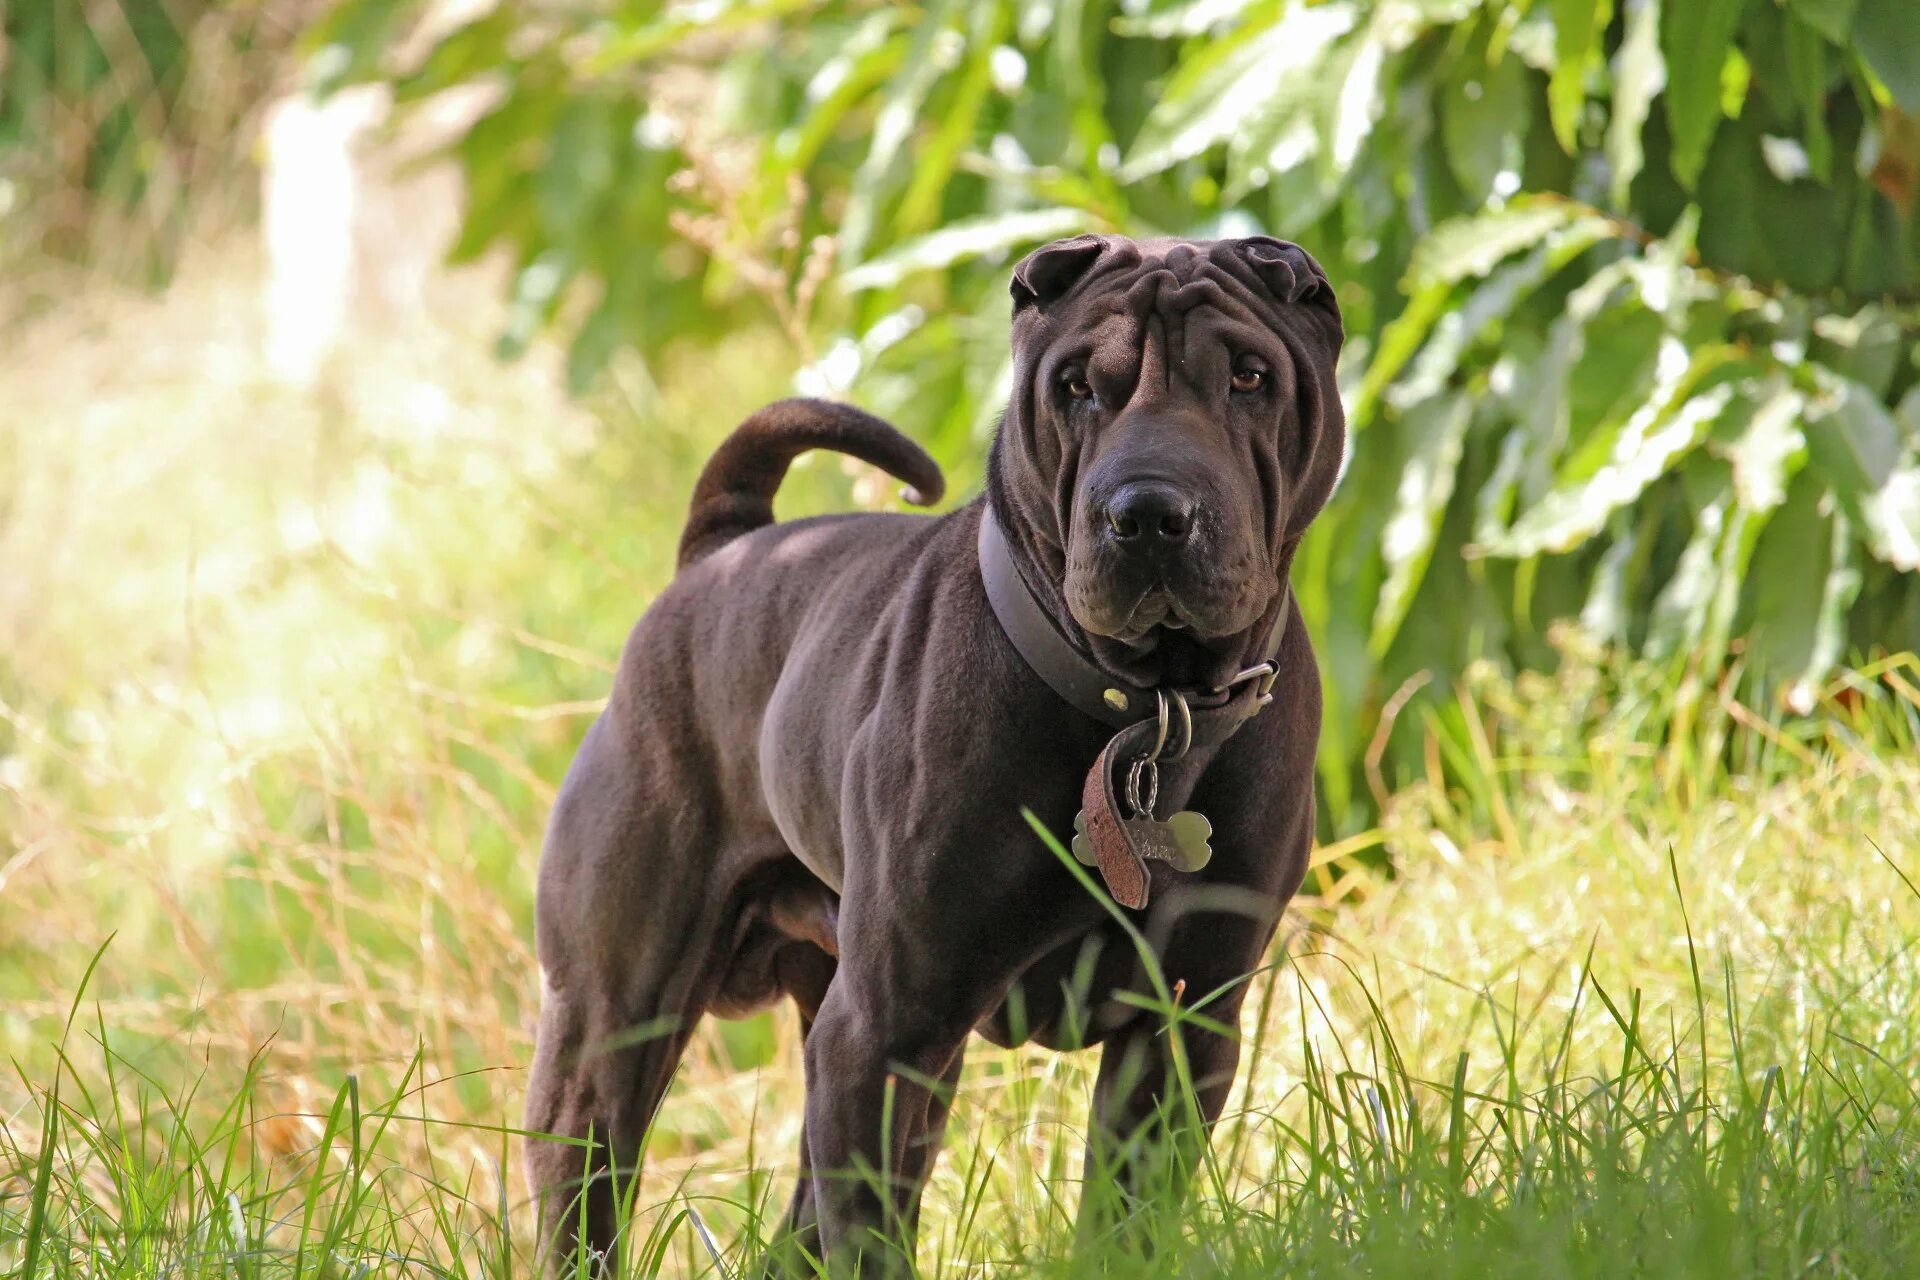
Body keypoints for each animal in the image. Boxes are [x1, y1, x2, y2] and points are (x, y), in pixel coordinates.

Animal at [518, 235, 1344, 1274]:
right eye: (1077, 386)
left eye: (1249, 377)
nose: (1149, 512)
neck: (1150, 711)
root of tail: (725, 549)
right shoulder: (884, 1031)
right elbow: (872, 1238)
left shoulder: (1183, 1026)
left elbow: (1127, 1217)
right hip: (613, 1018)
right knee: (588, 1190)